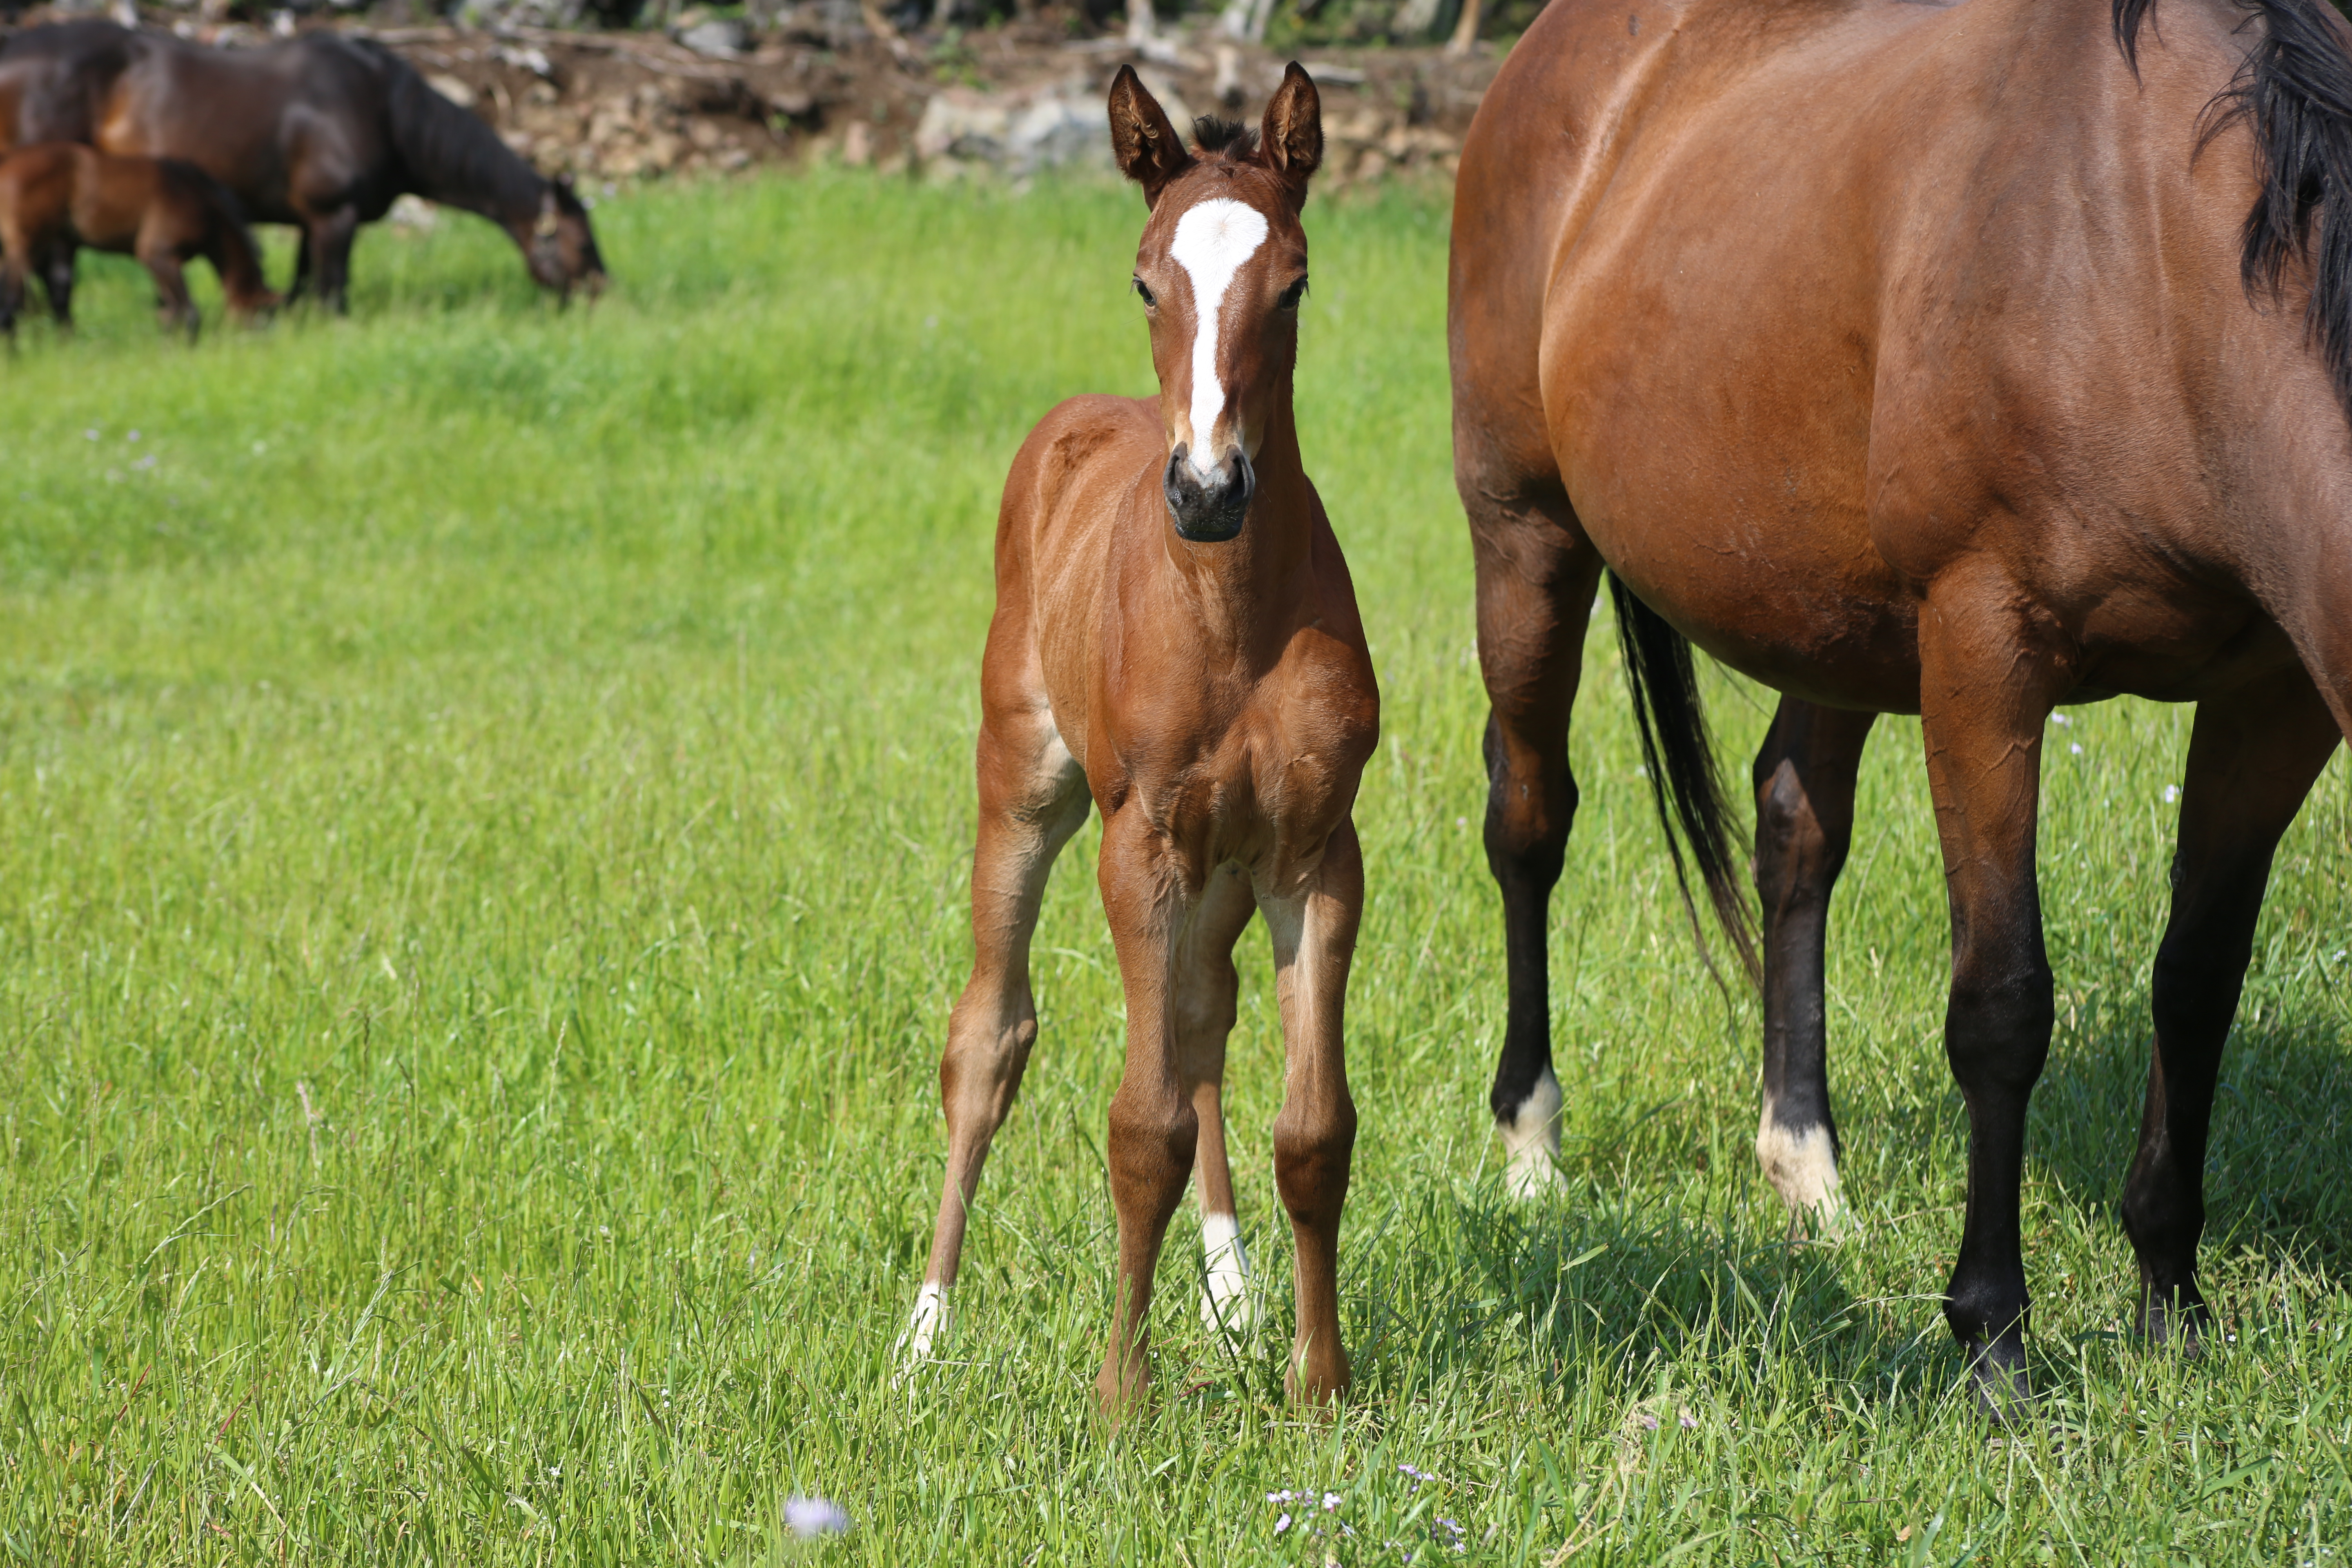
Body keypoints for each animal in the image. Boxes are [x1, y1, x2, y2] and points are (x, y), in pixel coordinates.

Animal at [0, 23, 607, 312]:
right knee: (52, 275)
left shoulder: (308, 223)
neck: (385, 110)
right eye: (581, 244)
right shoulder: (334, 216)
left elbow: (303, 288)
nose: (603, 296)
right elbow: (332, 293)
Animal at [1, 141, 277, 339]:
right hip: (25, 248)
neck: (200, 201)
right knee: (12, 304)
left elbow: (170, 314)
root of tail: (10, 160)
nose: (259, 347)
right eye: (262, 317)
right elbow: (188, 312)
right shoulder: (159, 256)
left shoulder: (163, 264)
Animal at [898, 61, 1373, 1420]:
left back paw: (1234, 1292)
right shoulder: (1141, 846)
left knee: (1206, 1022)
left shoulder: (1316, 853)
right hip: (1026, 791)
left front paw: (1318, 1383)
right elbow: (1139, 1125)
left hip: (1224, 868)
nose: (1208, 490)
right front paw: (1121, 1394)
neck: (1231, 619)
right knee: (988, 1038)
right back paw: (923, 1333)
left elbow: (1311, 1128)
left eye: (1295, 282)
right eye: (1145, 280)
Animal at [1449, 0, 2352, 1410]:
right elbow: (2002, 1003)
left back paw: (1808, 1174)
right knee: (1530, 823)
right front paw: (1993, 1340)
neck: (2153, 257)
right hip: (1524, 536)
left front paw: (2171, 1297)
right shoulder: (1985, 653)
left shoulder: (2272, 693)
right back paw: (1534, 1147)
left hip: (1829, 620)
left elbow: (2198, 982)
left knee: (1792, 827)